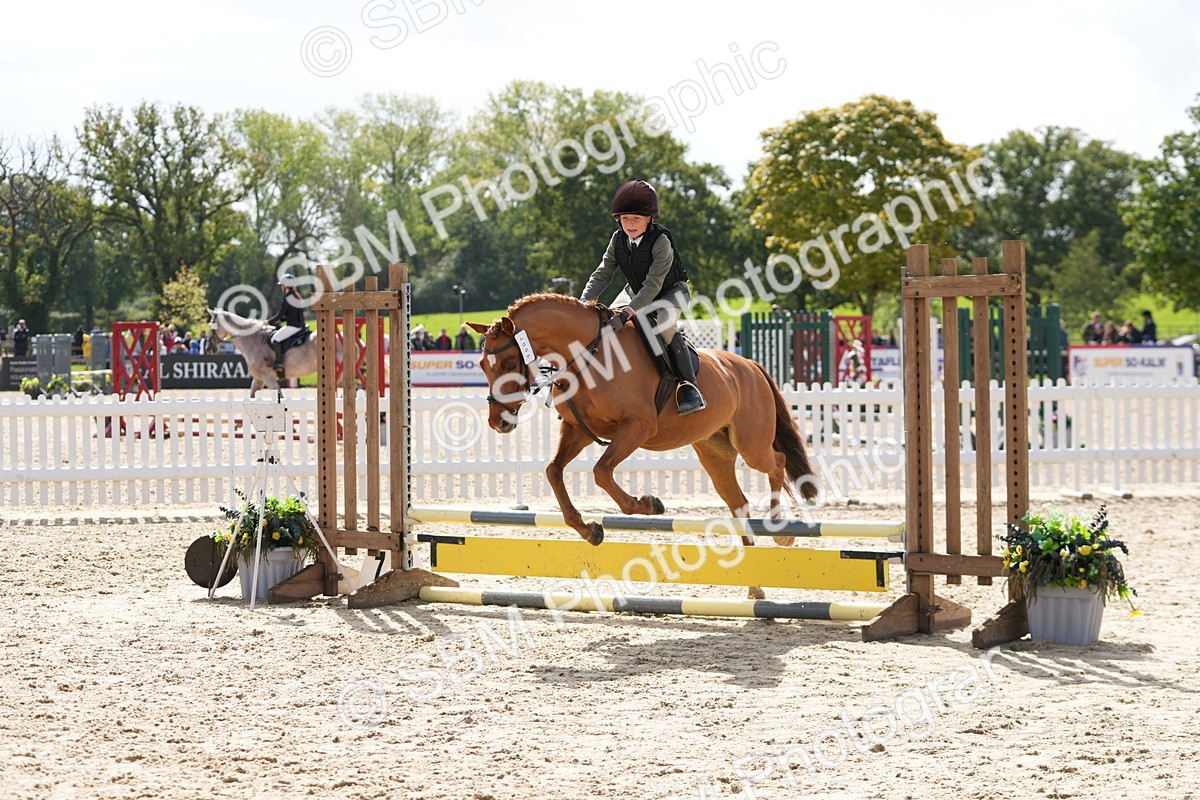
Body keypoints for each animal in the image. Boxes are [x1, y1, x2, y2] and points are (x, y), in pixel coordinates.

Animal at [467, 293, 819, 598]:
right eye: (483, 366)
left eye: (509, 363)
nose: (498, 422)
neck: (588, 355)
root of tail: (750, 365)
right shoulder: (578, 430)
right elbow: (554, 471)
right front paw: (590, 530)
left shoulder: (637, 427)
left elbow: (601, 472)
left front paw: (648, 504)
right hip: (714, 453)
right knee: (739, 504)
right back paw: (754, 586)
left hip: (751, 444)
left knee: (776, 462)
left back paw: (782, 530)